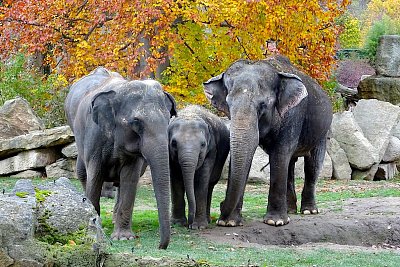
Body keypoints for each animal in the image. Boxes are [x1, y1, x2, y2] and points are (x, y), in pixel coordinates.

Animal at [65, 66, 176, 249]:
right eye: (136, 122)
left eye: (169, 119)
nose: (161, 246)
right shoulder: (95, 134)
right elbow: (95, 175)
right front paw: (95, 226)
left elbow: (130, 178)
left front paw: (124, 238)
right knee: (82, 173)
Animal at [203, 56, 332, 228]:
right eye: (228, 105)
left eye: (262, 105)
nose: (221, 205)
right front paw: (229, 223)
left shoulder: (293, 114)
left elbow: (279, 154)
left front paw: (275, 222)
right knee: (290, 164)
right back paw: (290, 210)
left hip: (322, 131)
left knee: (312, 164)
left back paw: (308, 211)